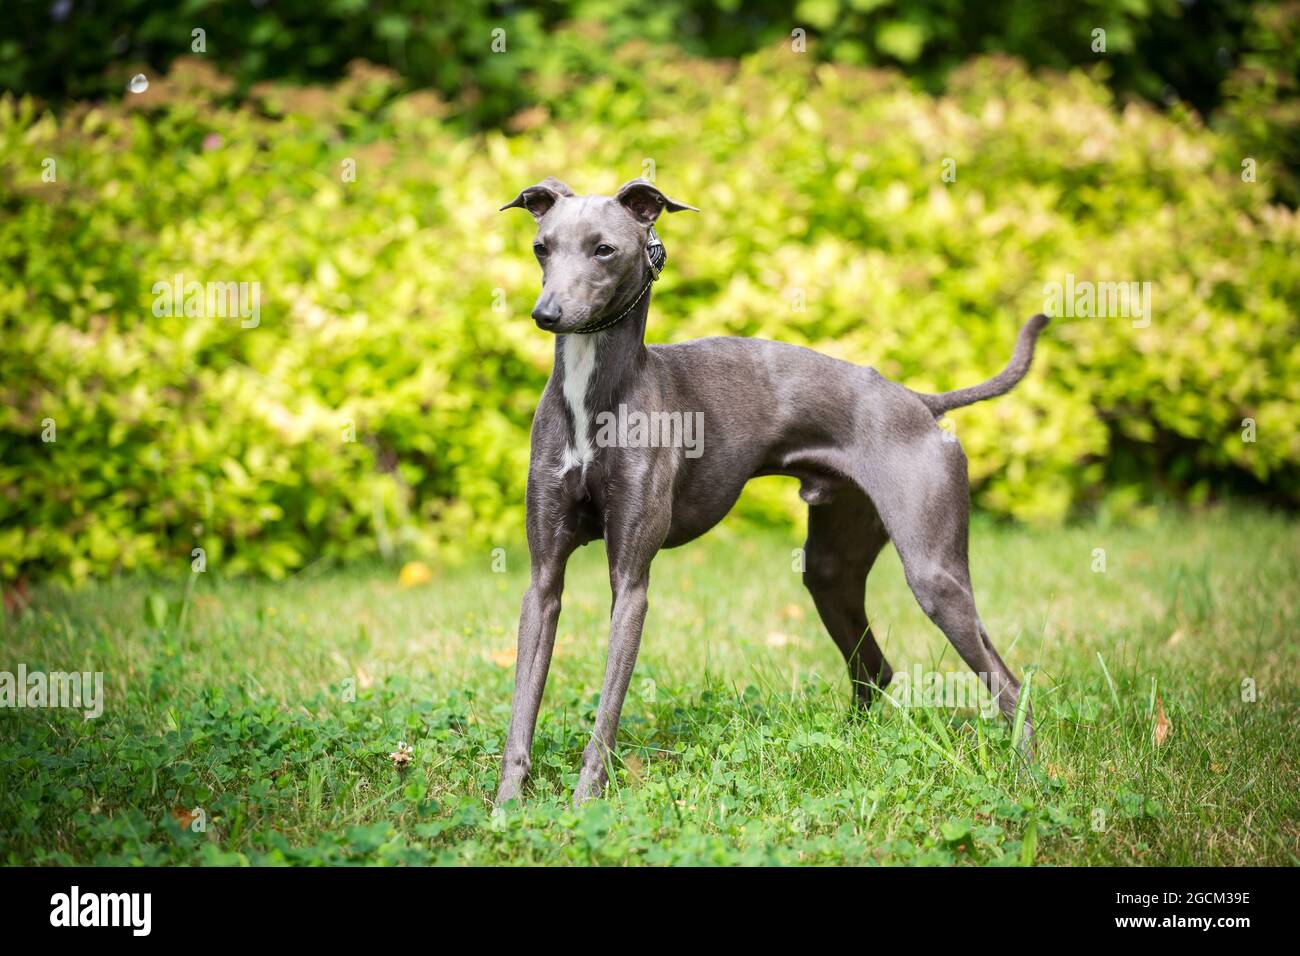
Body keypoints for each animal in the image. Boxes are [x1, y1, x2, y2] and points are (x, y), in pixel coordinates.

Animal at [493, 175, 1045, 806]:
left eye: (604, 249)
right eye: (541, 247)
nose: (546, 314)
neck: (596, 396)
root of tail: (921, 403)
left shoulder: (630, 582)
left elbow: (607, 711)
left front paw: (585, 802)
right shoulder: (542, 579)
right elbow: (523, 702)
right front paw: (507, 806)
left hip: (935, 575)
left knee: (1008, 683)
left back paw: (1028, 775)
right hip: (830, 568)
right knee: (874, 668)